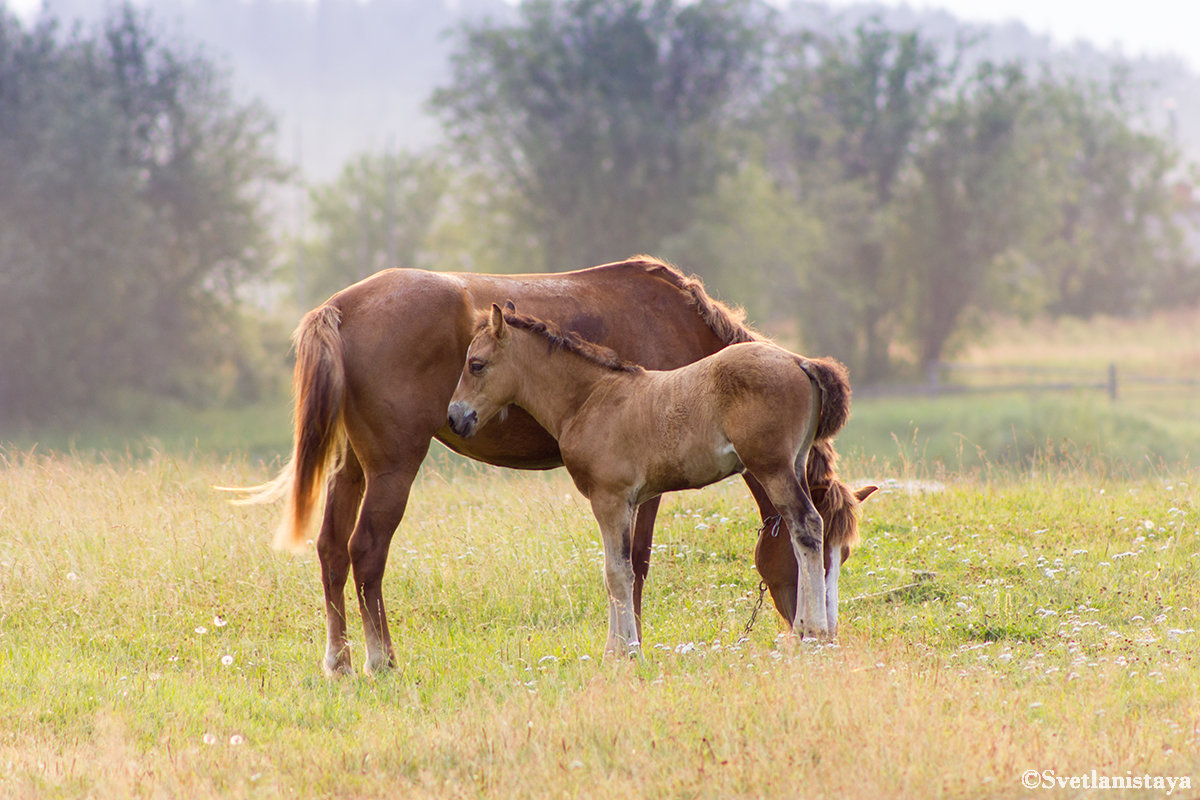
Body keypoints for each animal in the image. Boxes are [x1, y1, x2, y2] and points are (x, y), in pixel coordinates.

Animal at [451, 303, 854, 652]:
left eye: (476, 364)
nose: (456, 417)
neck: (590, 400)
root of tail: (800, 361)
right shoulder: (628, 503)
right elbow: (624, 571)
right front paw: (622, 647)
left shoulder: (609, 498)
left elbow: (616, 574)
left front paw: (622, 653)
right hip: (795, 464)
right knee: (802, 534)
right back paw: (805, 630)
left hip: (773, 467)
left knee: (806, 525)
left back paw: (815, 632)